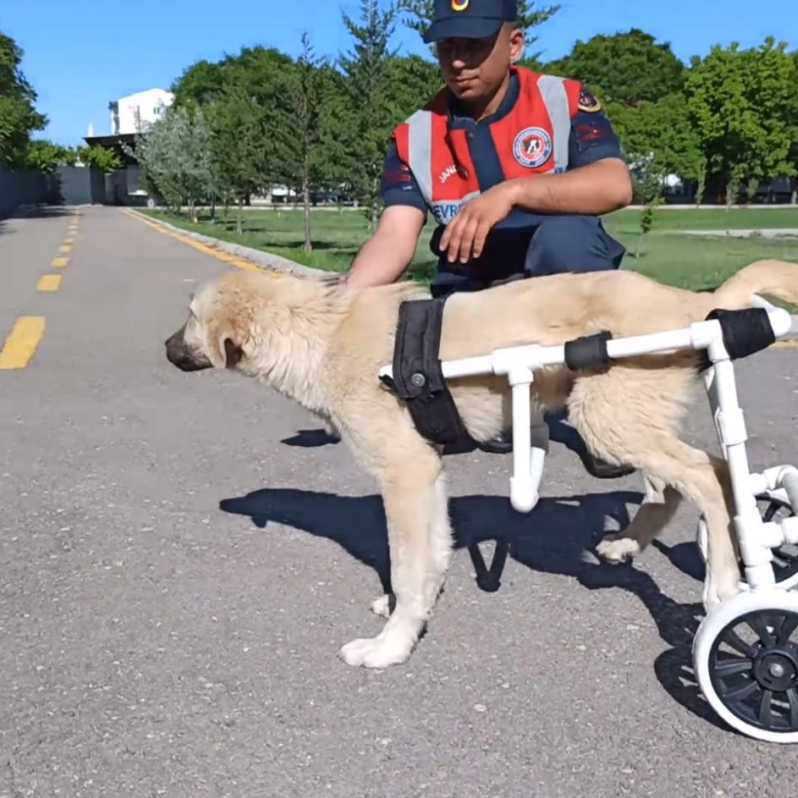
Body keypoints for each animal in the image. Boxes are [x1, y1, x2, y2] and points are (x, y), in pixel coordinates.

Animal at [166, 260, 796, 668]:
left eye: (190, 317)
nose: (166, 349)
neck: (320, 333)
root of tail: (688, 301)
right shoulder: (427, 477)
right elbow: (426, 558)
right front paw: (409, 611)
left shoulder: (406, 474)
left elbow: (408, 564)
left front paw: (390, 646)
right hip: (627, 419)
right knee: (695, 476)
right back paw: (629, 545)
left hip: (608, 417)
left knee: (707, 476)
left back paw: (725, 585)